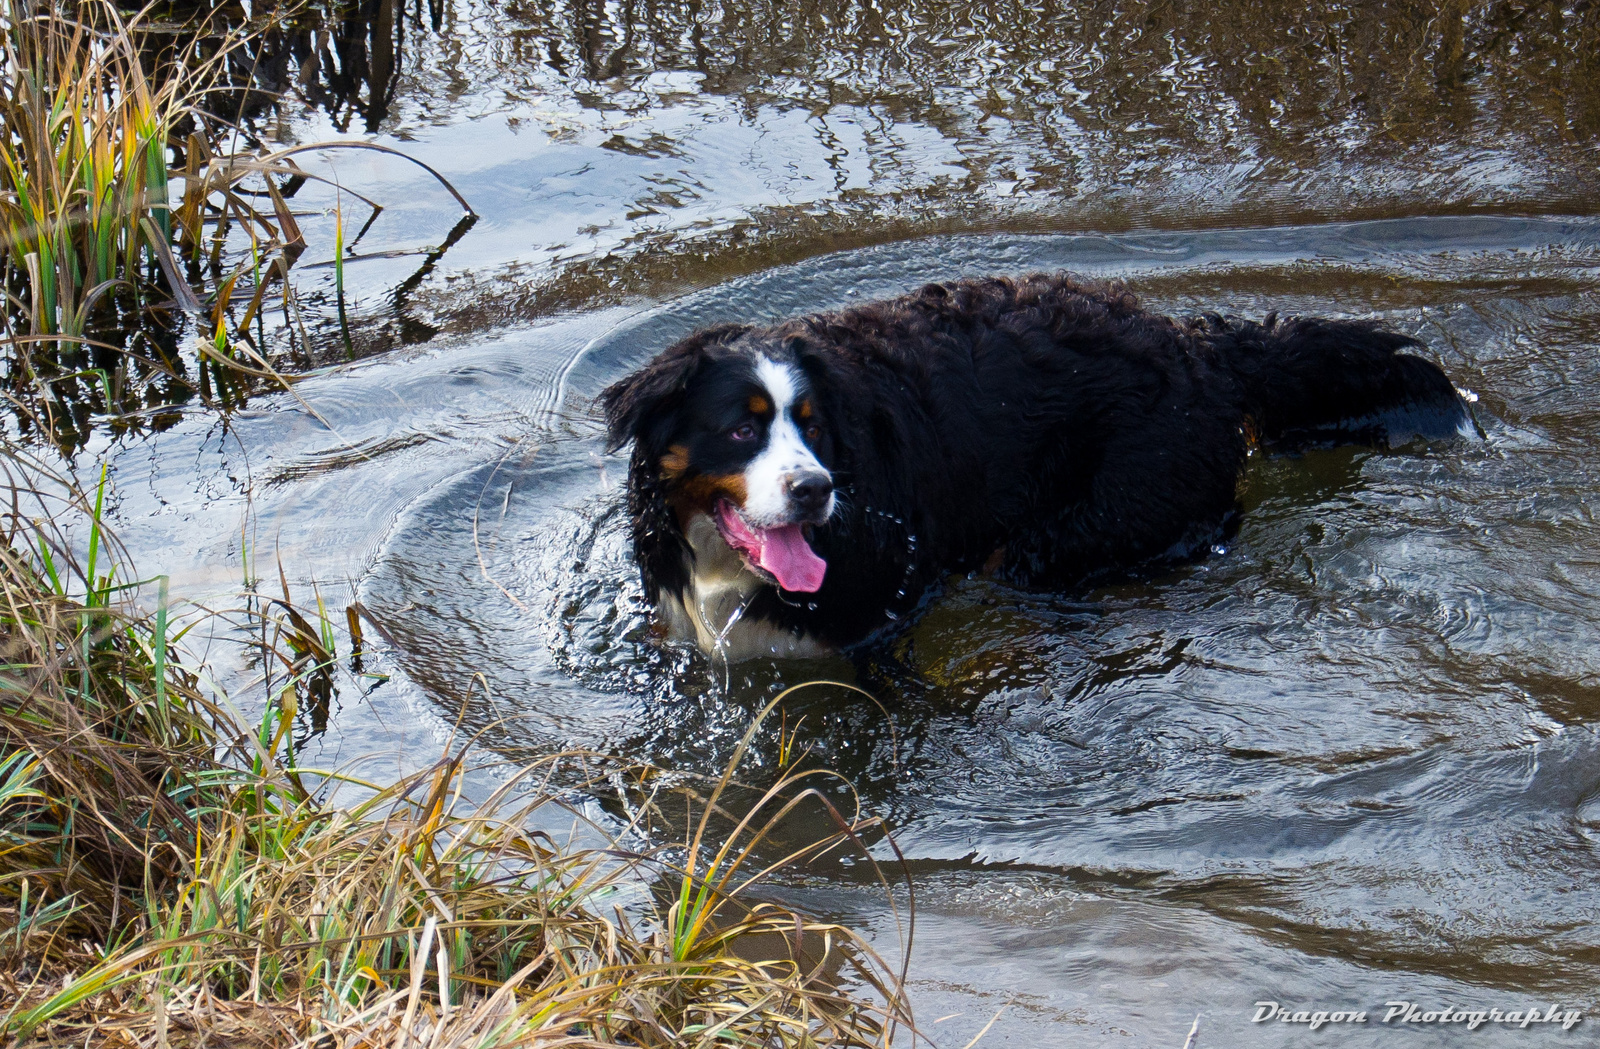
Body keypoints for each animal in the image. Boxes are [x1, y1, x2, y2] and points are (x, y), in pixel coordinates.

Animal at [601, 275, 1472, 658]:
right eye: (741, 430)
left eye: (813, 429)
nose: (815, 490)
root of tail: (1194, 345)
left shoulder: (871, 631)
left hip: (1083, 529)